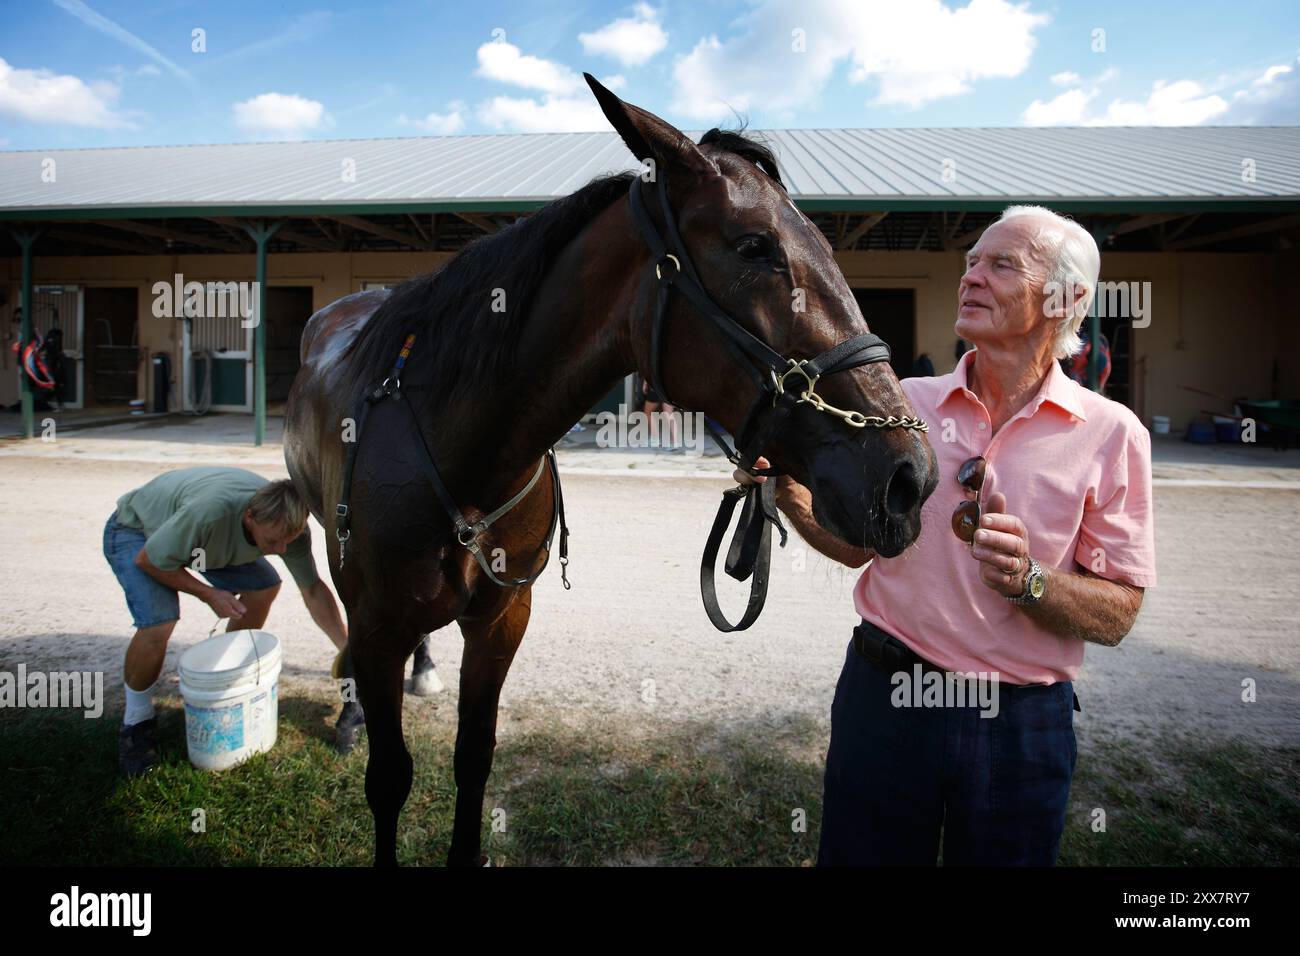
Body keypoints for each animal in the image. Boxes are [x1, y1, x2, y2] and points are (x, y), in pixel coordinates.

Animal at [282, 76, 935, 868]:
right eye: (755, 245)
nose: (909, 477)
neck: (461, 456)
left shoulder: (502, 619)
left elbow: (474, 757)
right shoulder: (379, 624)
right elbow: (388, 779)